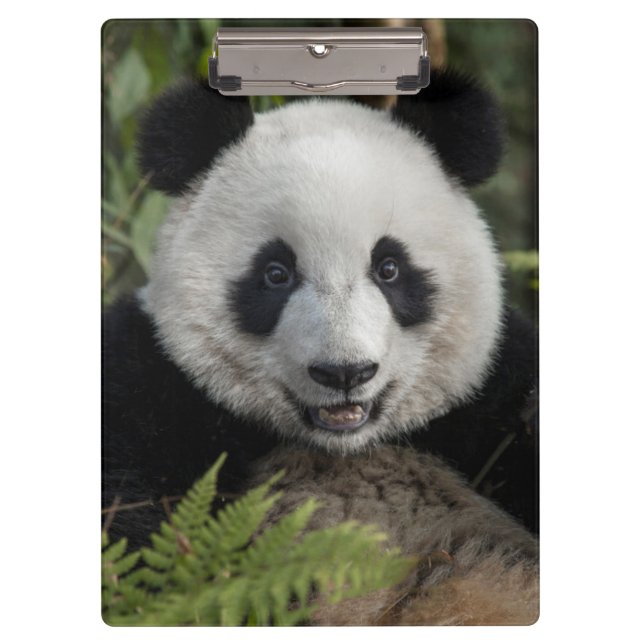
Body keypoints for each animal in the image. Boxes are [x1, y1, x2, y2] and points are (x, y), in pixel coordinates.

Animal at [102, 68, 537, 550]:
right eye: (276, 273)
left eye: (389, 268)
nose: (344, 373)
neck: (344, 446)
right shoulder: (151, 386)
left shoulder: (495, 389)